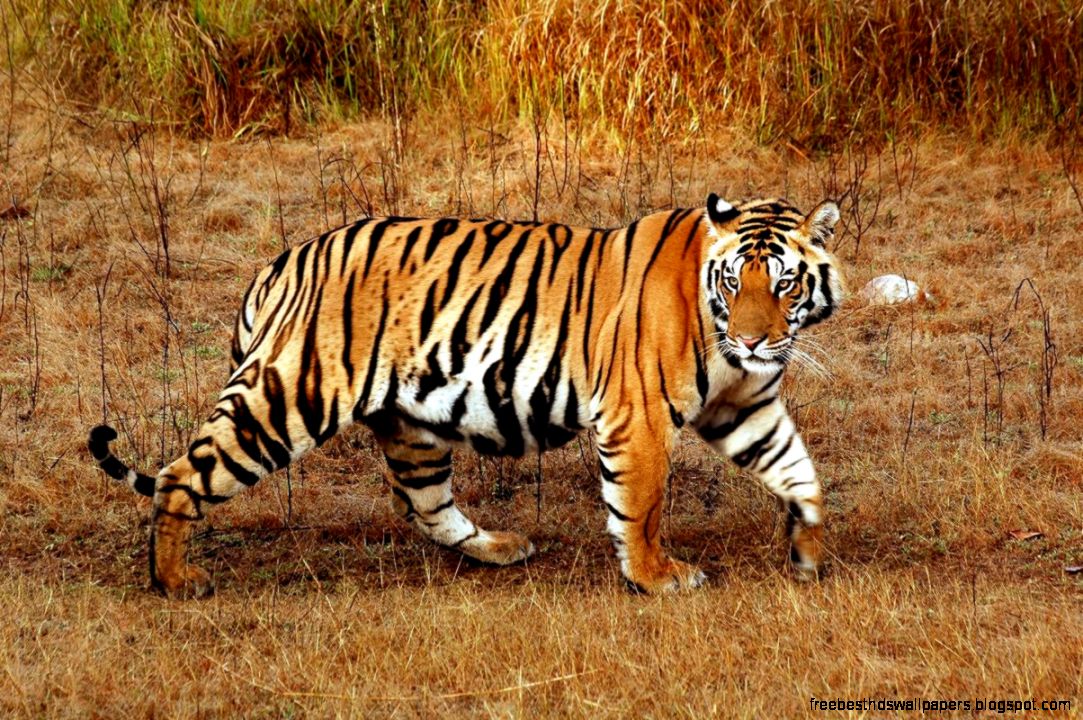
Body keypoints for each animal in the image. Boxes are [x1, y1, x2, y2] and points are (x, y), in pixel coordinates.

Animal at [88, 194, 842, 598]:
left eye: (783, 283)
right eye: (733, 281)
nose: (752, 341)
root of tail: (282, 261)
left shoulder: (744, 407)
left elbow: (801, 475)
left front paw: (806, 553)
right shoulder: (640, 417)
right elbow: (643, 506)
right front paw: (657, 578)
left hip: (408, 422)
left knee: (423, 504)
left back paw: (499, 547)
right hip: (288, 397)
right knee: (181, 476)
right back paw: (175, 581)